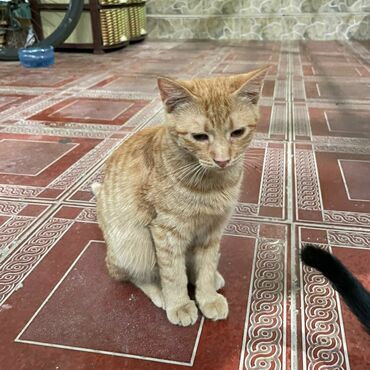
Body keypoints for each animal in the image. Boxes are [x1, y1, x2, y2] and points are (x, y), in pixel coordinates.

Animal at [94, 66, 268, 326]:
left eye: (237, 133)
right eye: (200, 137)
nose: (223, 160)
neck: (211, 183)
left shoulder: (212, 229)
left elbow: (207, 264)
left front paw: (207, 296)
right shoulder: (166, 232)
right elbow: (173, 273)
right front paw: (179, 303)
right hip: (134, 244)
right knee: (129, 273)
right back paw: (160, 294)